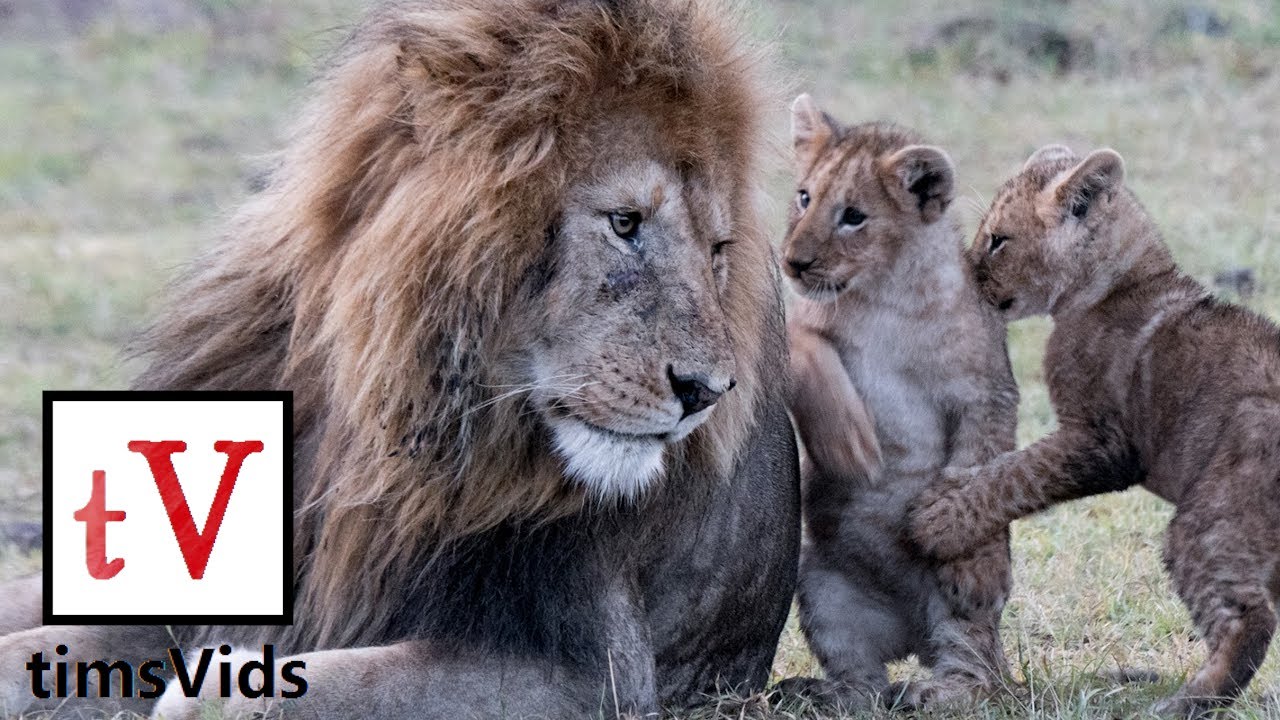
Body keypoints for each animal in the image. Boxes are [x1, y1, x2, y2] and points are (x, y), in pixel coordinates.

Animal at [0, 1, 801, 717]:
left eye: (717, 249)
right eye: (625, 223)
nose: (707, 392)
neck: (394, 422)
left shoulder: (595, 675)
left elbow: (285, 692)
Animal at [909, 145, 1280, 716]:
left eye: (998, 240)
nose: (967, 279)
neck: (1119, 282)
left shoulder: (1102, 442)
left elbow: (1017, 474)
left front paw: (937, 522)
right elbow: (1000, 467)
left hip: (1215, 517)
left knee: (1249, 619)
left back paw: (1181, 703)